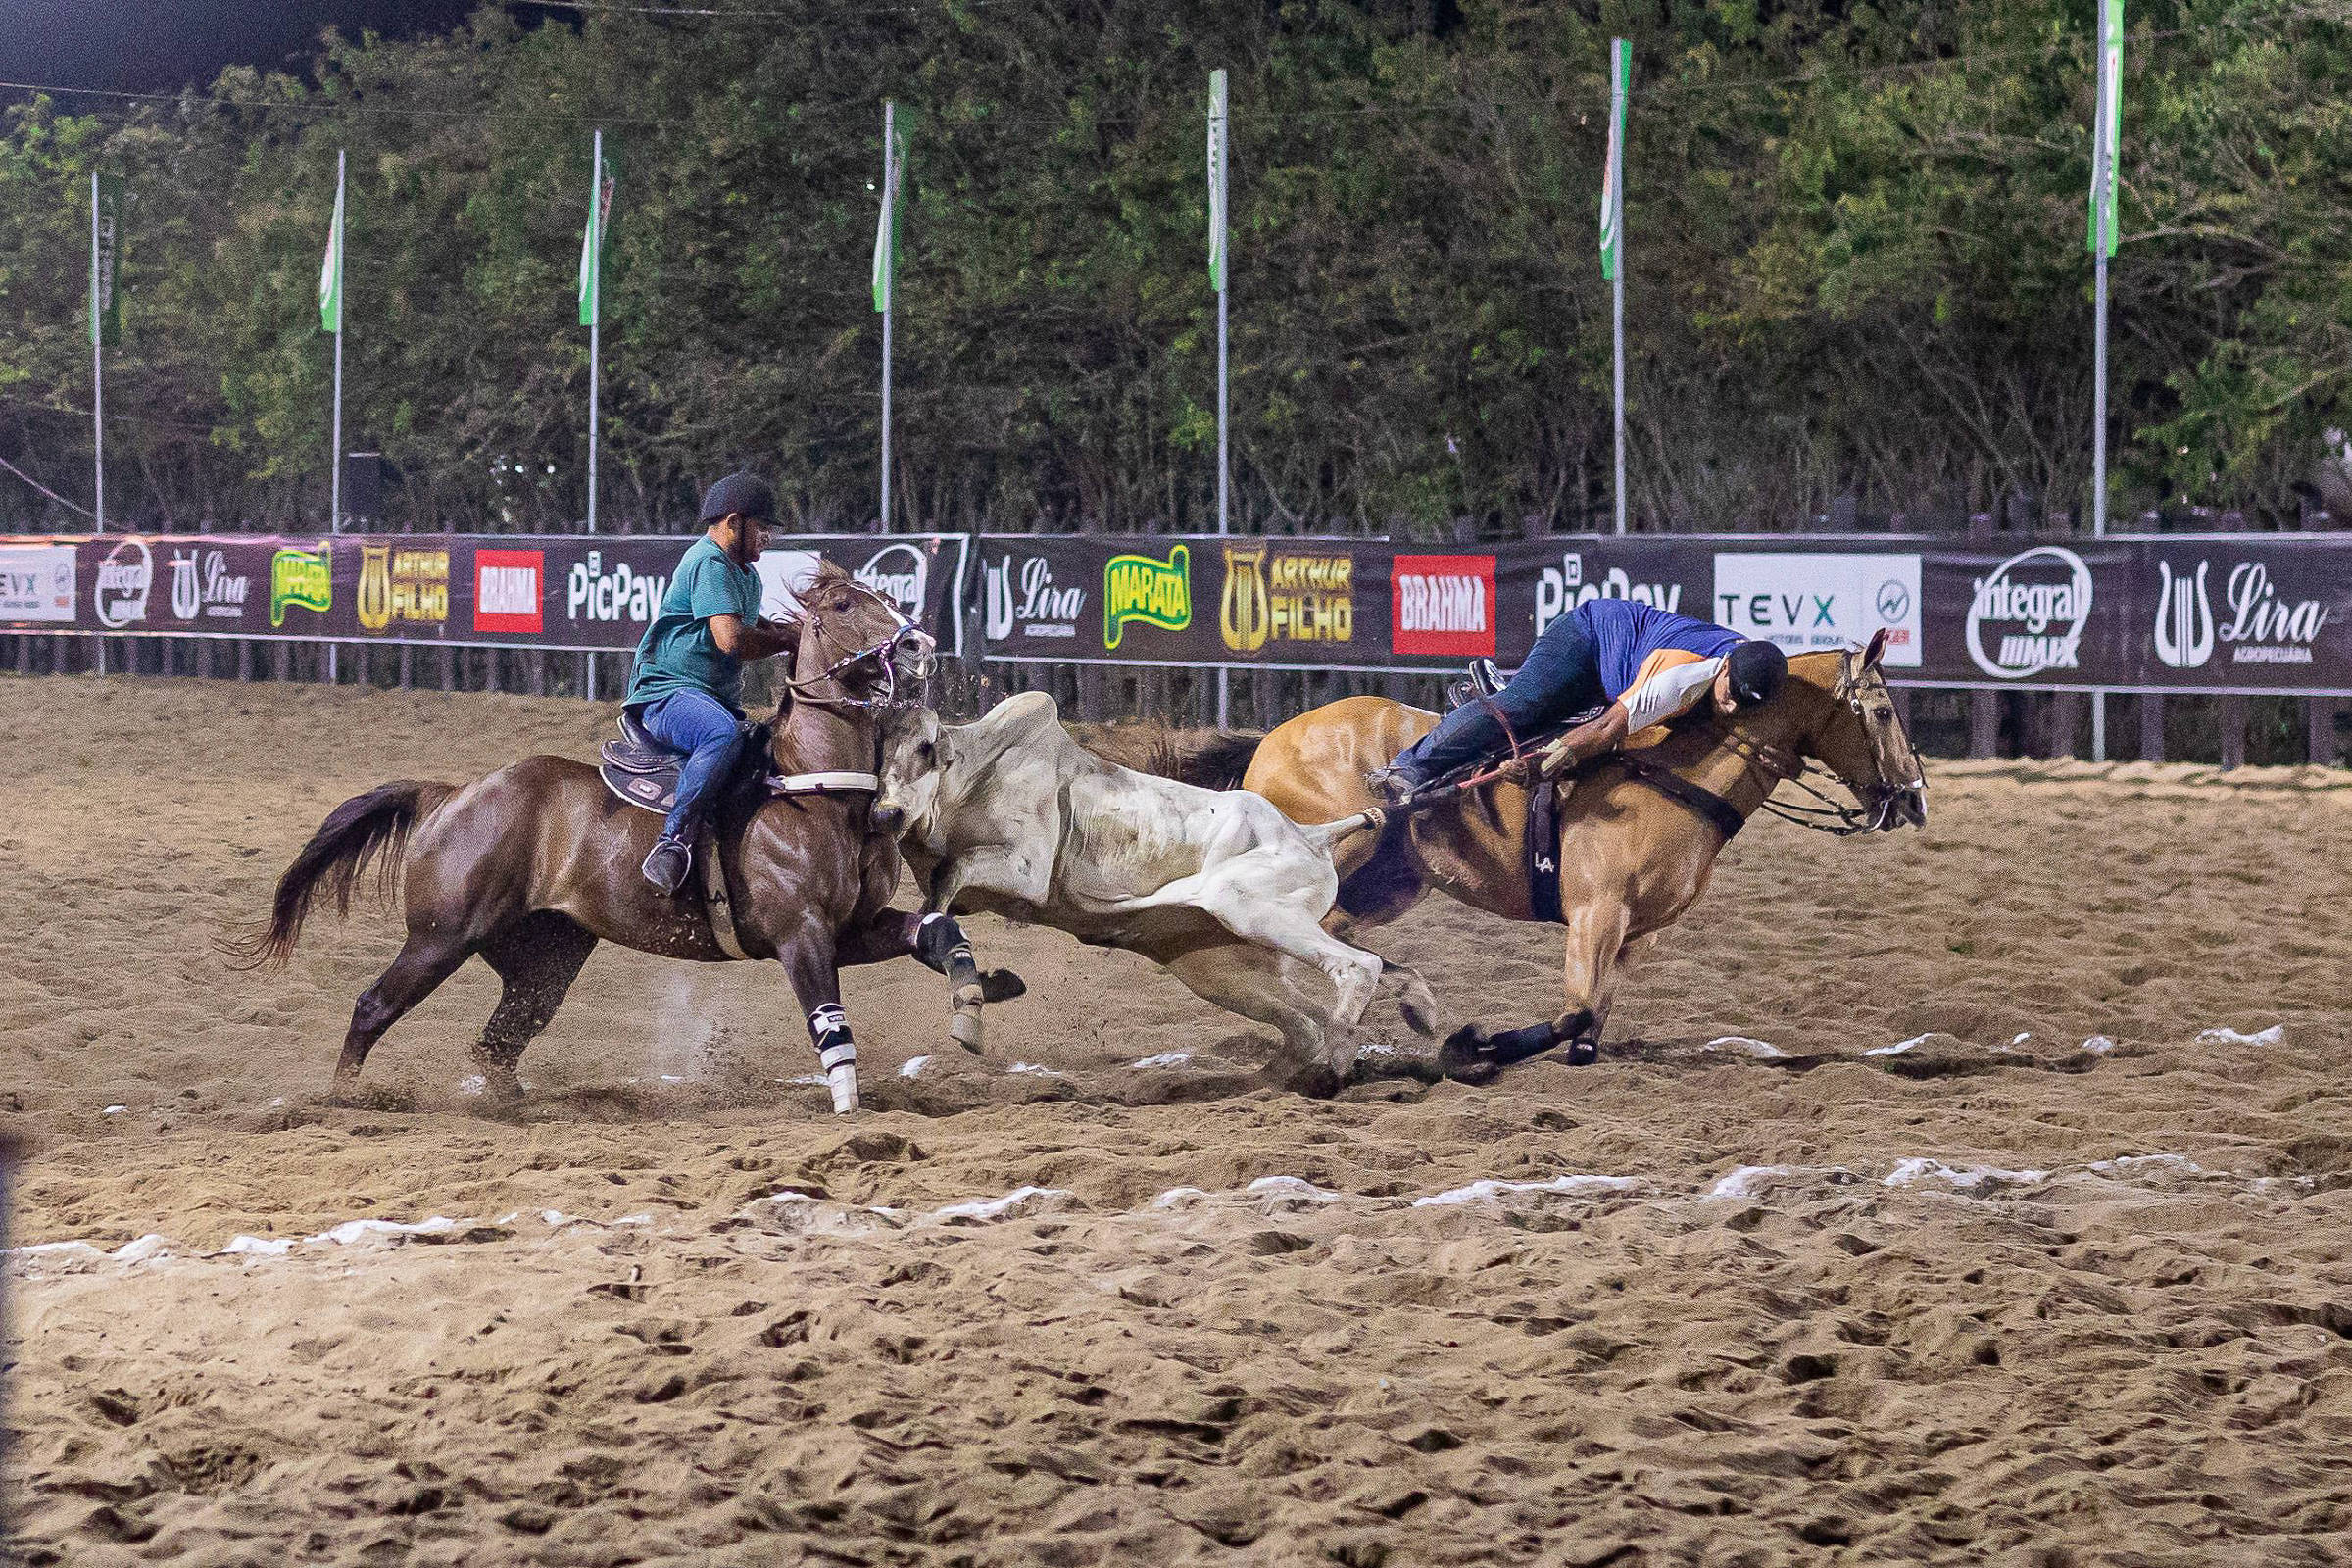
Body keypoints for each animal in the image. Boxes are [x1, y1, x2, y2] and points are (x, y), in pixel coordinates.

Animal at [231, 564, 1011, 1114]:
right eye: (847, 605)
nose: (920, 644)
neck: (816, 788)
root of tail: (450, 795)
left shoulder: (850, 927)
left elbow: (938, 932)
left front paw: (976, 1004)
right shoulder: (802, 934)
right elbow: (831, 1025)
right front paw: (850, 1106)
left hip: (546, 957)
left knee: (496, 1045)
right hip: (439, 936)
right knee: (374, 1007)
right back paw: (343, 1099)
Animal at [879, 691, 1439, 1100]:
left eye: (924, 753)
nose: (885, 814)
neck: (975, 774)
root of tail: (1310, 835)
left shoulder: (1025, 870)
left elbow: (951, 877)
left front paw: (973, 1013)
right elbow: (934, 915)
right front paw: (991, 985)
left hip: (1247, 908)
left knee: (1356, 968)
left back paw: (1333, 1071)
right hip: (1218, 967)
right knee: (1309, 1020)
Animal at [1203, 629, 1919, 1086]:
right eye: (1883, 710)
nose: (1913, 798)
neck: (1679, 771)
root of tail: (1270, 741)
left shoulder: (1638, 935)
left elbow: (1592, 1024)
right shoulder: (1596, 913)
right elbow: (1575, 1010)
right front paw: (1474, 1047)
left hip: (1391, 882)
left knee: (1331, 939)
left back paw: (1410, 1002)